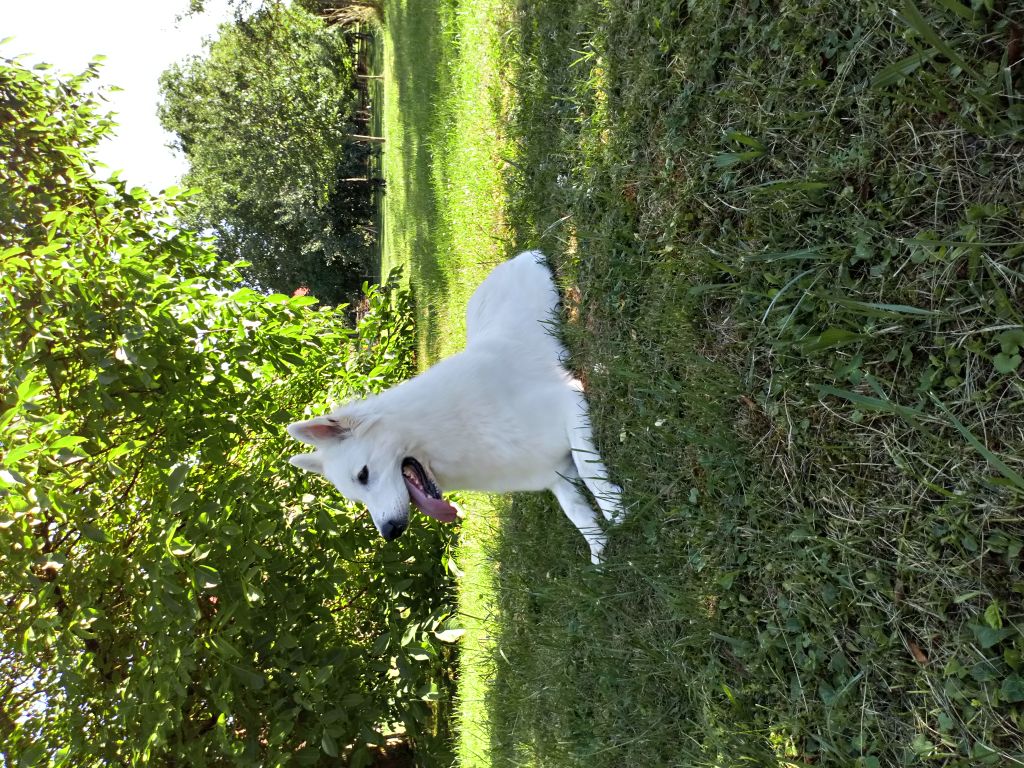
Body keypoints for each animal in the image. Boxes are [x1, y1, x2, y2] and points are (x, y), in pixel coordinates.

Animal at [286, 250, 622, 561]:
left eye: (363, 475)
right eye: (357, 497)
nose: (390, 532)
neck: (447, 429)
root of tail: (513, 259)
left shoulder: (570, 400)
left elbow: (588, 469)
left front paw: (614, 507)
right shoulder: (554, 475)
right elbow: (576, 511)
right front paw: (598, 544)